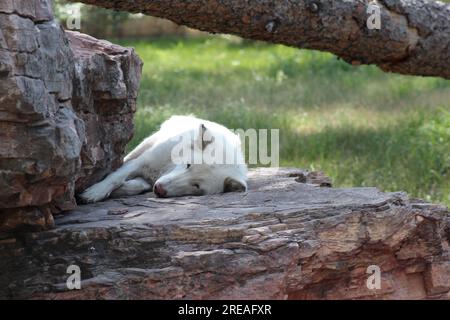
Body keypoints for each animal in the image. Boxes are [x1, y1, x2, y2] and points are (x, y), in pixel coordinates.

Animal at [77, 115, 246, 202]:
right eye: (188, 165)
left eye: (196, 186)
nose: (159, 189)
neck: (165, 168)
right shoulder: (140, 162)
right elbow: (116, 177)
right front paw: (95, 192)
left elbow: (136, 185)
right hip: (144, 145)